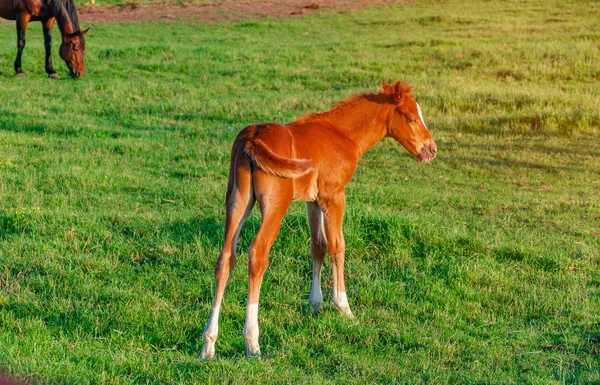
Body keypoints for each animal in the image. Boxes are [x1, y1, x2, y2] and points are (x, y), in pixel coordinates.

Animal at [199, 79, 438, 358]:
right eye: (411, 118)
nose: (431, 149)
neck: (342, 134)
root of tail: (252, 137)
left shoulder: (312, 201)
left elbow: (318, 246)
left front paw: (315, 304)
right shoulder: (334, 195)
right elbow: (337, 246)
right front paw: (344, 307)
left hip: (237, 201)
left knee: (226, 258)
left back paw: (209, 344)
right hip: (275, 206)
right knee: (257, 254)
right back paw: (252, 342)